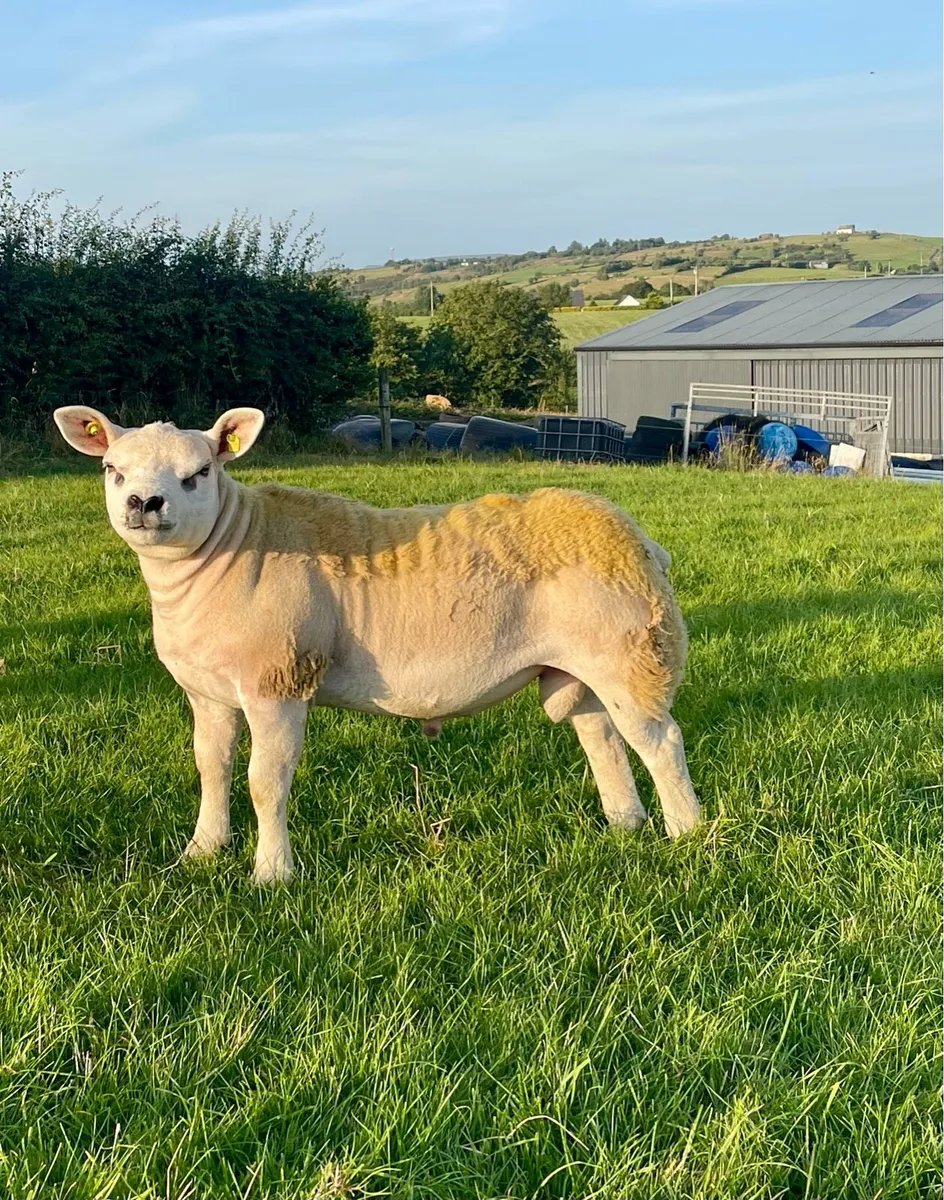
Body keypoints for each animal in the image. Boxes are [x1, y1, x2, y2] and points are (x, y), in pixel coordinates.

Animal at [53, 404, 701, 882]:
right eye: (111, 468)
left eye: (200, 473)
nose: (145, 503)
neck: (229, 550)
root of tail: (637, 538)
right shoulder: (209, 693)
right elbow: (211, 768)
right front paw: (203, 851)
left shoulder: (277, 681)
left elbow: (266, 781)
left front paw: (273, 874)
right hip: (581, 667)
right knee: (602, 738)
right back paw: (625, 824)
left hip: (631, 654)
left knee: (660, 742)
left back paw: (688, 834)